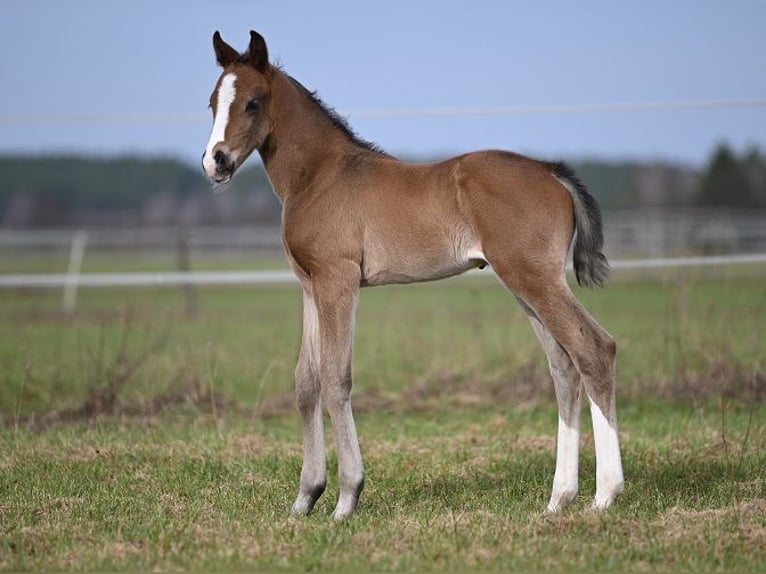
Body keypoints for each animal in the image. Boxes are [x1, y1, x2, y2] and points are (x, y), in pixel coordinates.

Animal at [202, 29, 624, 520]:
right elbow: (306, 382)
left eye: (253, 102)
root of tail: (551, 172)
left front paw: (346, 498)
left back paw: (604, 495)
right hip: (527, 283)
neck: (321, 176)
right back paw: (559, 498)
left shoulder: (338, 281)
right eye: (212, 103)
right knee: (563, 367)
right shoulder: (310, 285)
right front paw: (305, 498)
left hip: (533, 278)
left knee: (593, 348)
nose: (216, 161)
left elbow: (336, 378)